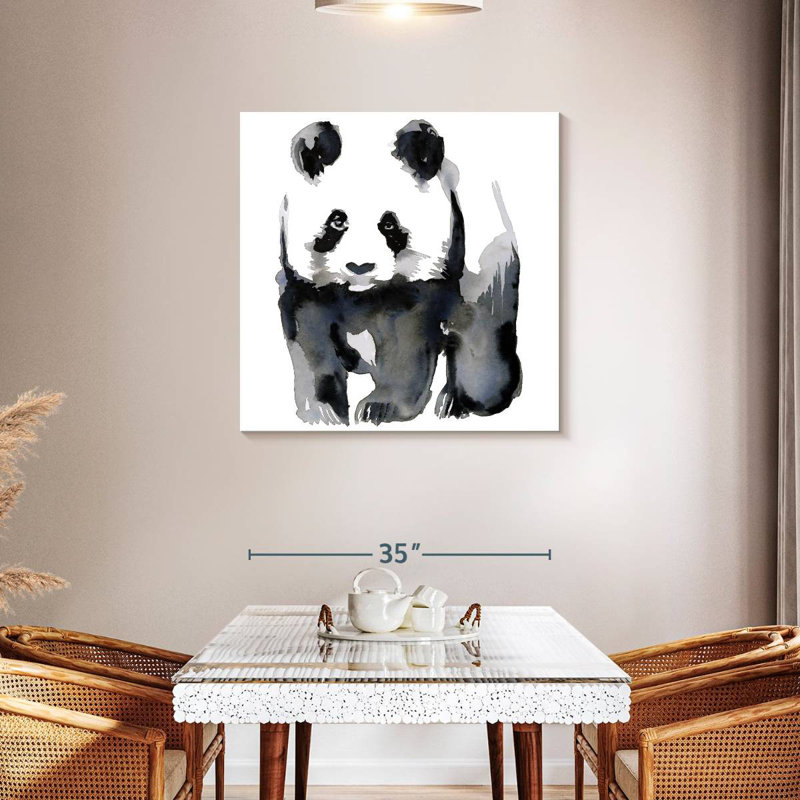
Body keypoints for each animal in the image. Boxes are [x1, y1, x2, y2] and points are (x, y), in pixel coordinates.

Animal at [277, 118, 522, 426]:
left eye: (389, 225)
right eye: (337, 221)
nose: (360, 267)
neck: (362, 293)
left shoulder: (430, 275)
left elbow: (406, 342)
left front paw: (380, 408)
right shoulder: (308, 283)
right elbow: (310, 335)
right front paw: (324, 411)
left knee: (481, 332)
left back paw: (461, 400)